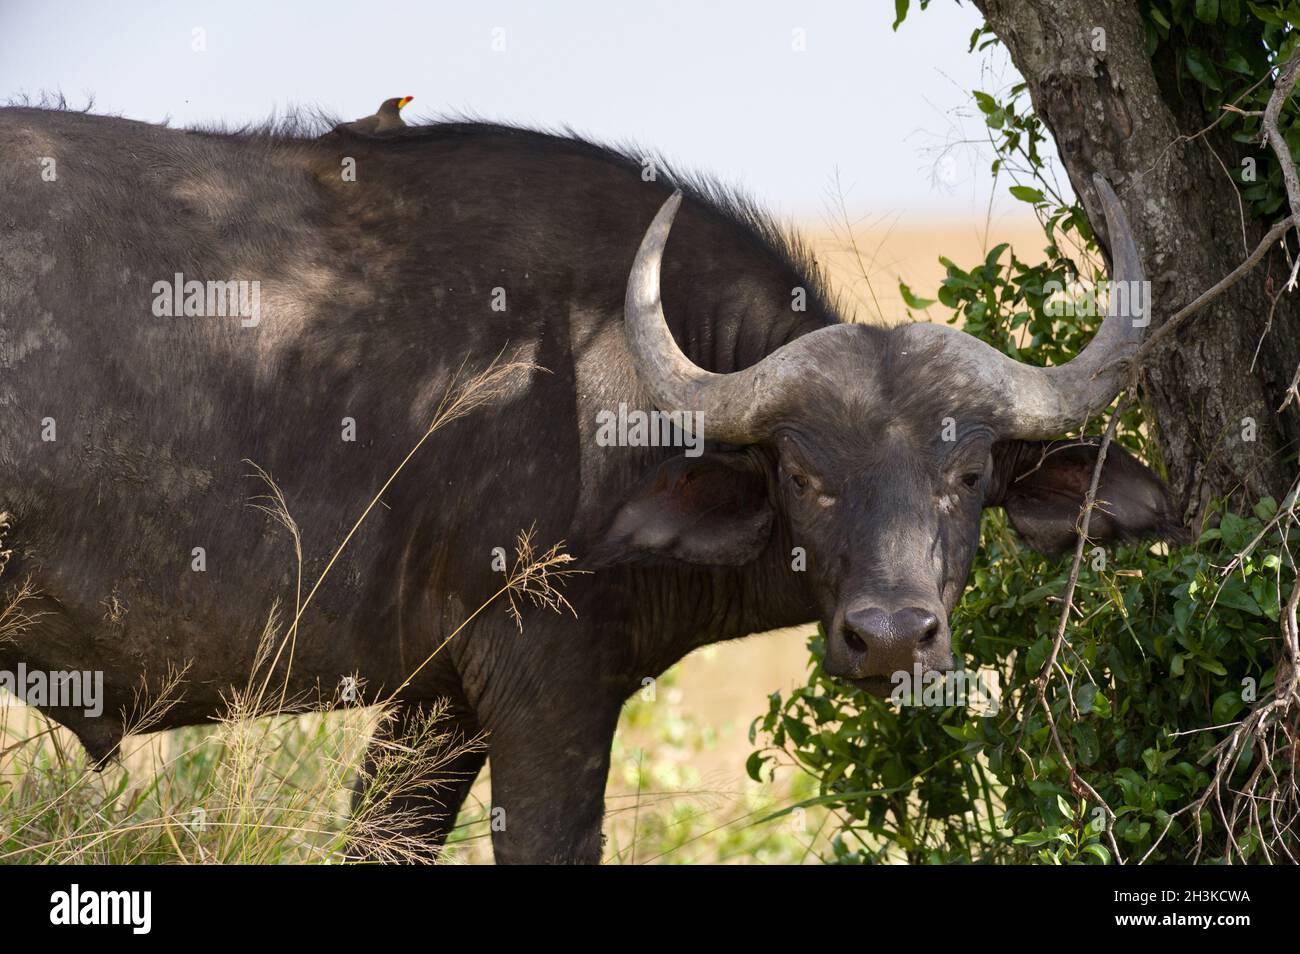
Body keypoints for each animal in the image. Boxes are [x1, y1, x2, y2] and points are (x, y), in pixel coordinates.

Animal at [0, 108, 1180, 863]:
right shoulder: (548, 686)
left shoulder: (437, 701)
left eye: (967, 472)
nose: (892, 636)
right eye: (804, 473)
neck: (611, 393)